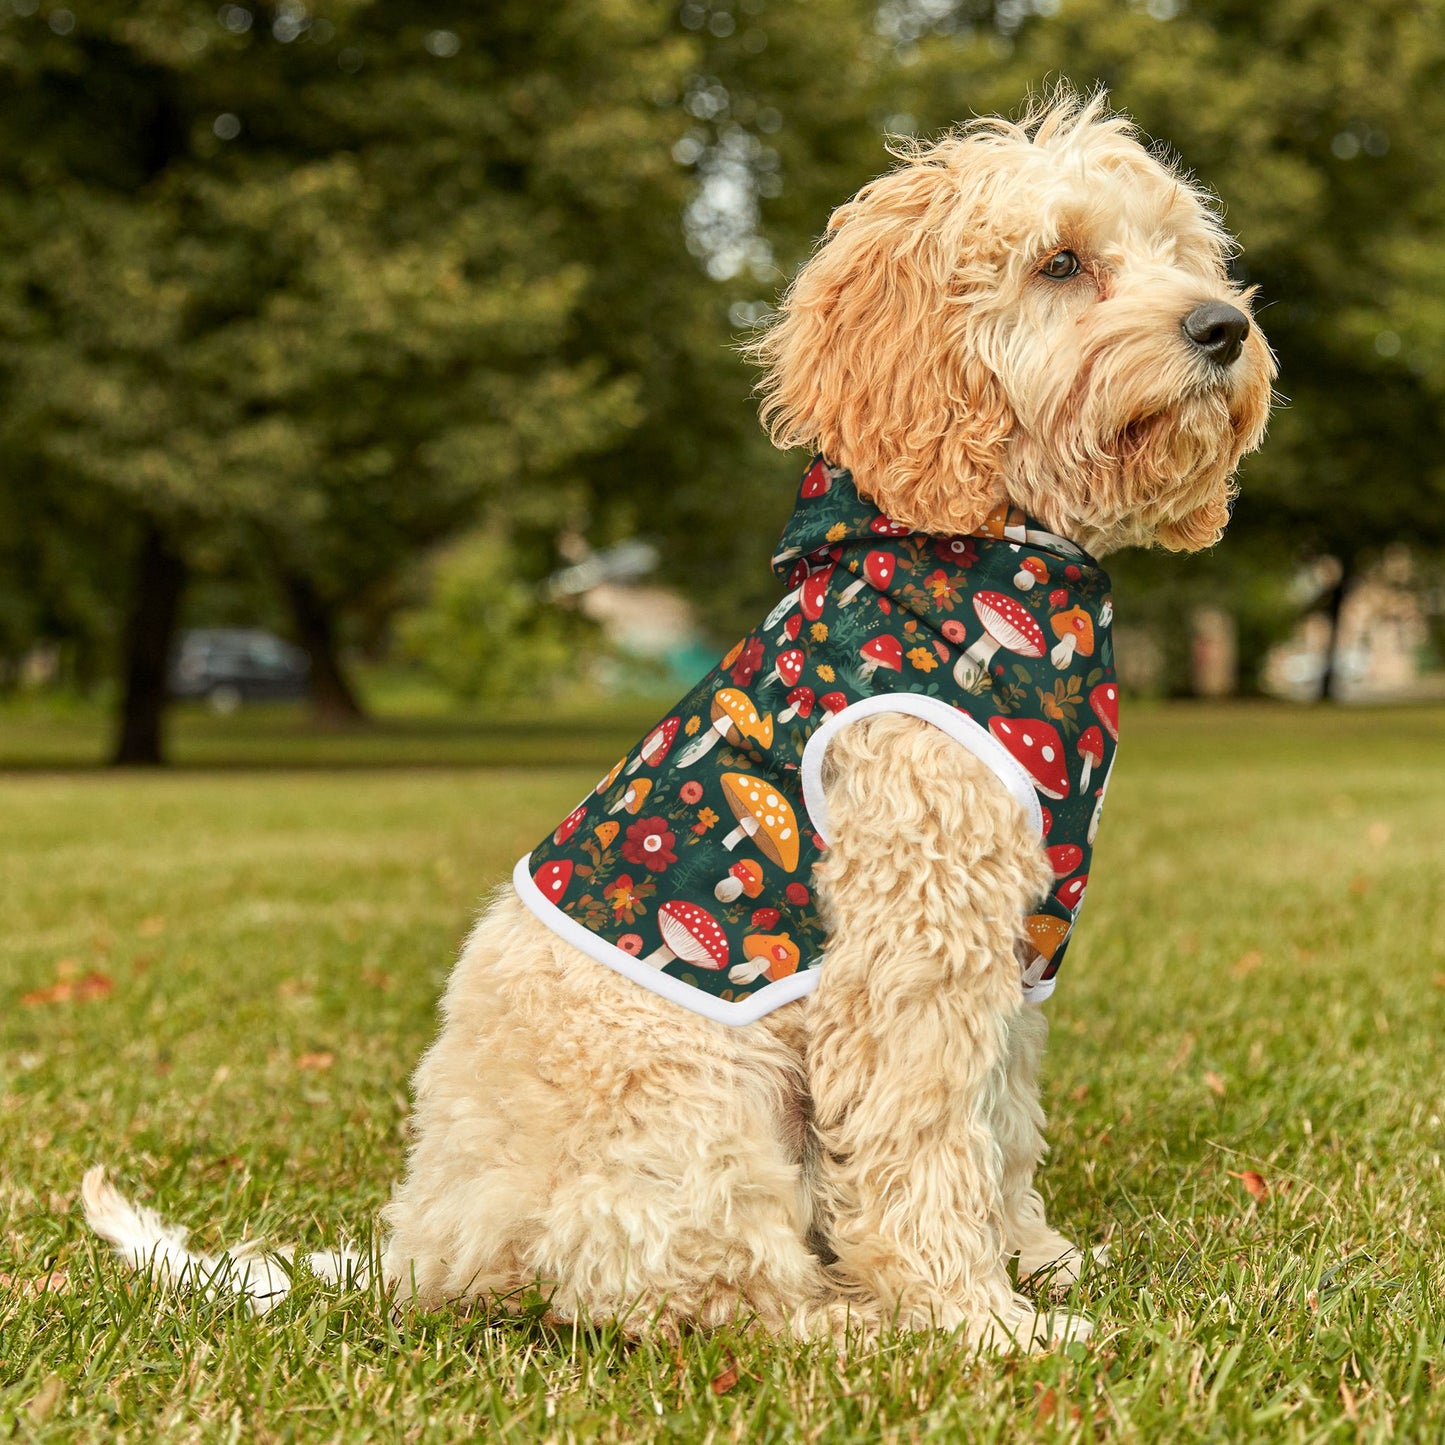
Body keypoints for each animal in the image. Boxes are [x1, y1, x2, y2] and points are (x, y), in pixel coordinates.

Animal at [84, 90, 1271, 1352]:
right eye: (1059, 262)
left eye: (1181, 252)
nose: (1222, 327)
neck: (976, 549)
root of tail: (423, 1248)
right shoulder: (912, 942)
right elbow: (924, 1139)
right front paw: (976, 1318)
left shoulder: (1013, 941)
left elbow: (999, 1122)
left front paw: (1035, 1260)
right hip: (702, 1106)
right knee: (697, 1291)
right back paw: (852, 1322)